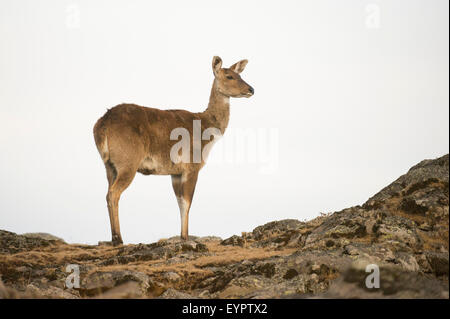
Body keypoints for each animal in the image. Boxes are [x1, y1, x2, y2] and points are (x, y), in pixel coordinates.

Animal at [93, 56, 255, 245]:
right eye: (229, 76)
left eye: (240, 74)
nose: (251, 89)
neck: (205, 129)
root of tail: (102, 124)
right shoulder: (192, 166)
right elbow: (187, 202)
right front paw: (186, 237)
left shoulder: (175, 172)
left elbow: (179, 201)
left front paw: (182, 235)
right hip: (128, 161)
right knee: (113, 193)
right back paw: (118, 238)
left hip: (109, 165)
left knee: (107, 192)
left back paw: (113, 237)